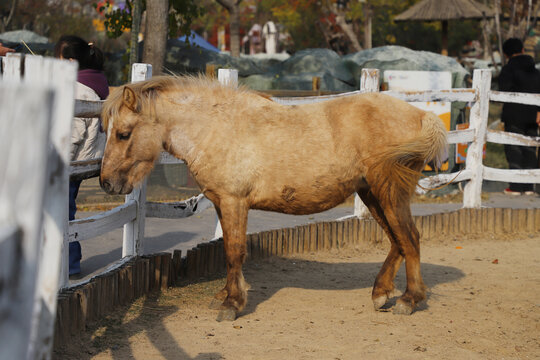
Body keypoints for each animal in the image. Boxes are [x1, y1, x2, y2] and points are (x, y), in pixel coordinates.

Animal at [100, 75, 448, 320]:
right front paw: (226, 295)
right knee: (397, 241)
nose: (106, 183)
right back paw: (381, 293)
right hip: (372, 194)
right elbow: (227, 250)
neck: (218, 127)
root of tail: (421, 115)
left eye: (123, 134)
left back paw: (409, 300)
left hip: (389, 192)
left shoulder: (234, 202)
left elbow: (234, 252)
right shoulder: (222, 203)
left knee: (410, 239)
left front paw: (232, 304)